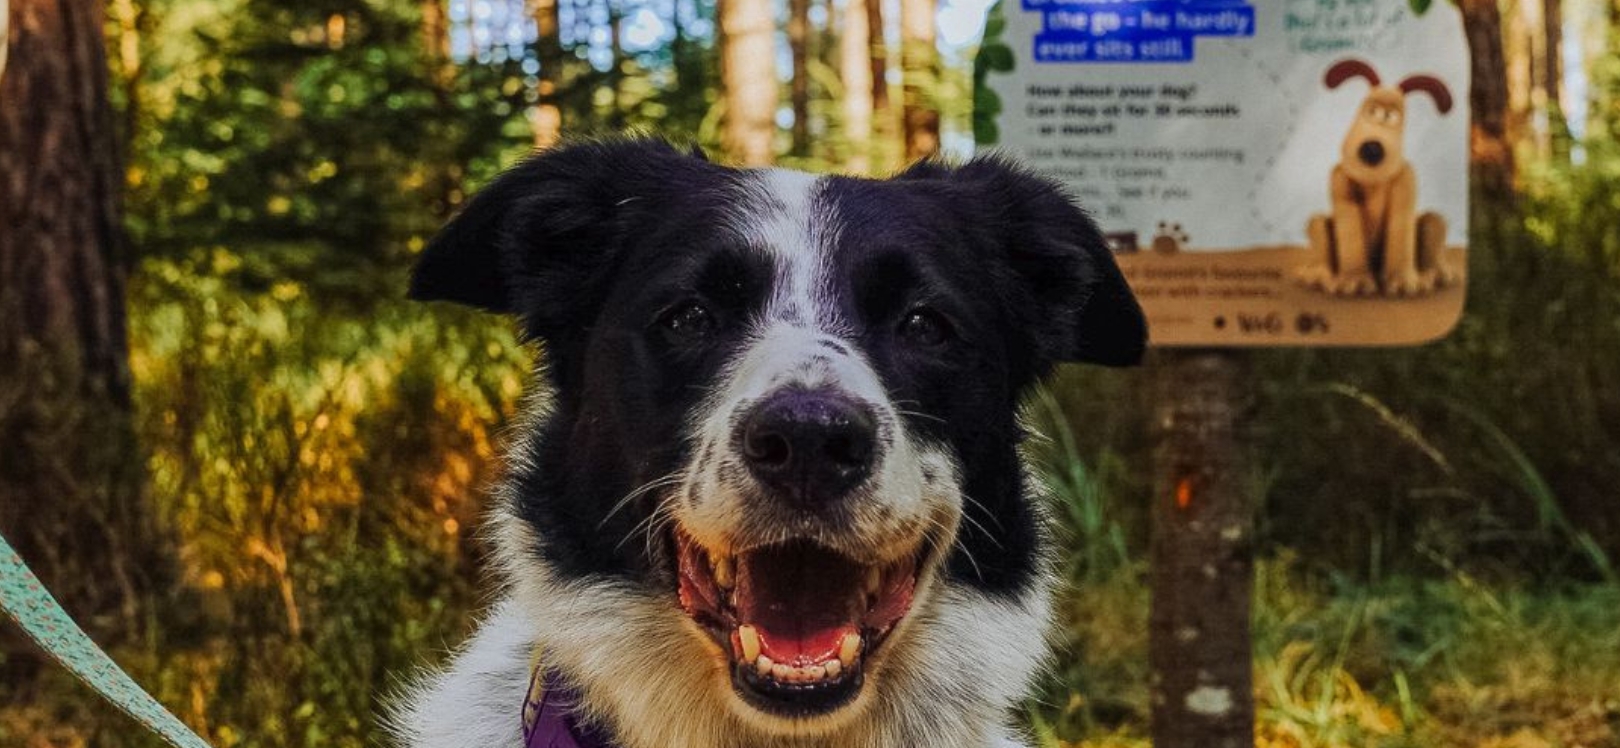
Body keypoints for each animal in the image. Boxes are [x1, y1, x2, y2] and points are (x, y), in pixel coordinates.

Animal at [1296, 57, 1464, 296]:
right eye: (1371, 111)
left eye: (1391, 117)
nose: (1372, 149)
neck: (1372, 182)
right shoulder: (1339, 180)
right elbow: (1350, 235)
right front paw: (1354, 281)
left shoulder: (1406, 179)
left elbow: (1400, 235)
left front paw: (1402, 282)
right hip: (1318, 225)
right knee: (1318, 225)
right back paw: (1316, 274)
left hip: (1433, 223)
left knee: (1433, 222)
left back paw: (1438, 273)